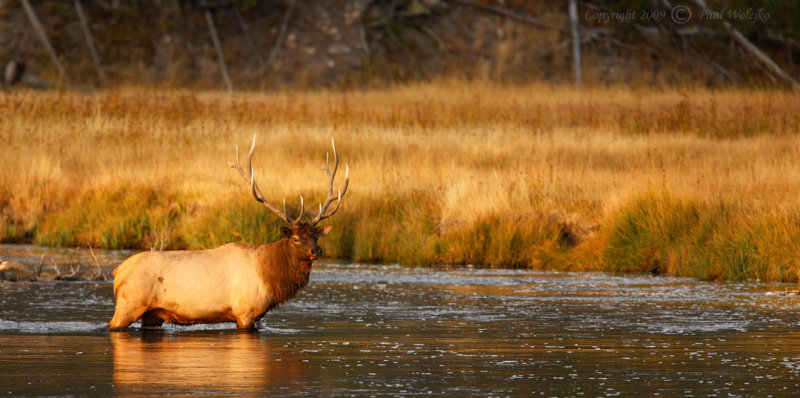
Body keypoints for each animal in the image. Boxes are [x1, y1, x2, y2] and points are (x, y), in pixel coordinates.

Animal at [106, 137, 346, 330]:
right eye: (295, 238)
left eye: (316, 236)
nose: (317, 250)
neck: (269, 277)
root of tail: (118, 271)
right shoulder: (245, 311)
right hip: (128, 304)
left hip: (152, 314)